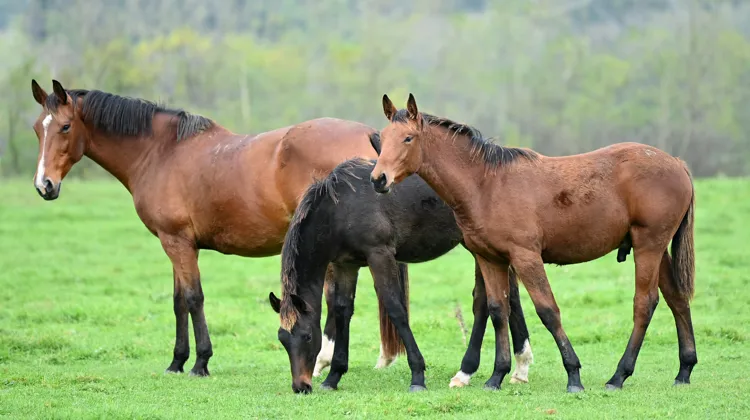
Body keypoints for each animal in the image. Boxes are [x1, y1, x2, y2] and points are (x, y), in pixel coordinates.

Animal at [27, 79, 406, 377]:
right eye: (36, 128)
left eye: (64, 127)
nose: (44, 185)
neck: (161, 152)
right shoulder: (177, 243)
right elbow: (178, 301)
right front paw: (177, 362)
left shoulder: (177, 243)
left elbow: (194, 298)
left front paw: (200, 362)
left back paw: (321, 361)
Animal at [268, 157, 534, 393]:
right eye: (282, 339)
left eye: (307, 336)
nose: (301, 386)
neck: (340, 207)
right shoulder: (346, 265)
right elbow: (343, 311)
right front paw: (333, 376)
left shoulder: (380, 255)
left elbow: (395, 308)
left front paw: (417, 375)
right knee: (504, 297)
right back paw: (516, 368)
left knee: (488, 301)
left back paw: (474, 370)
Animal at [369, 94, 697, 393]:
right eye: (382, 139)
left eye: (408, 138)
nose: (378, 179)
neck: (486, 184)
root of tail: (677, 164)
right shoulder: (490, 258)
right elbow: (498, 310)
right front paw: (497, 376)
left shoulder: (525, 257)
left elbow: (547, 310)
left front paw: (573, 375)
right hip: (658, 250)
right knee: (677, 299)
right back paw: (684, 370)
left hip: (648, 247)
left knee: (645, 303)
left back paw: (619, 376)